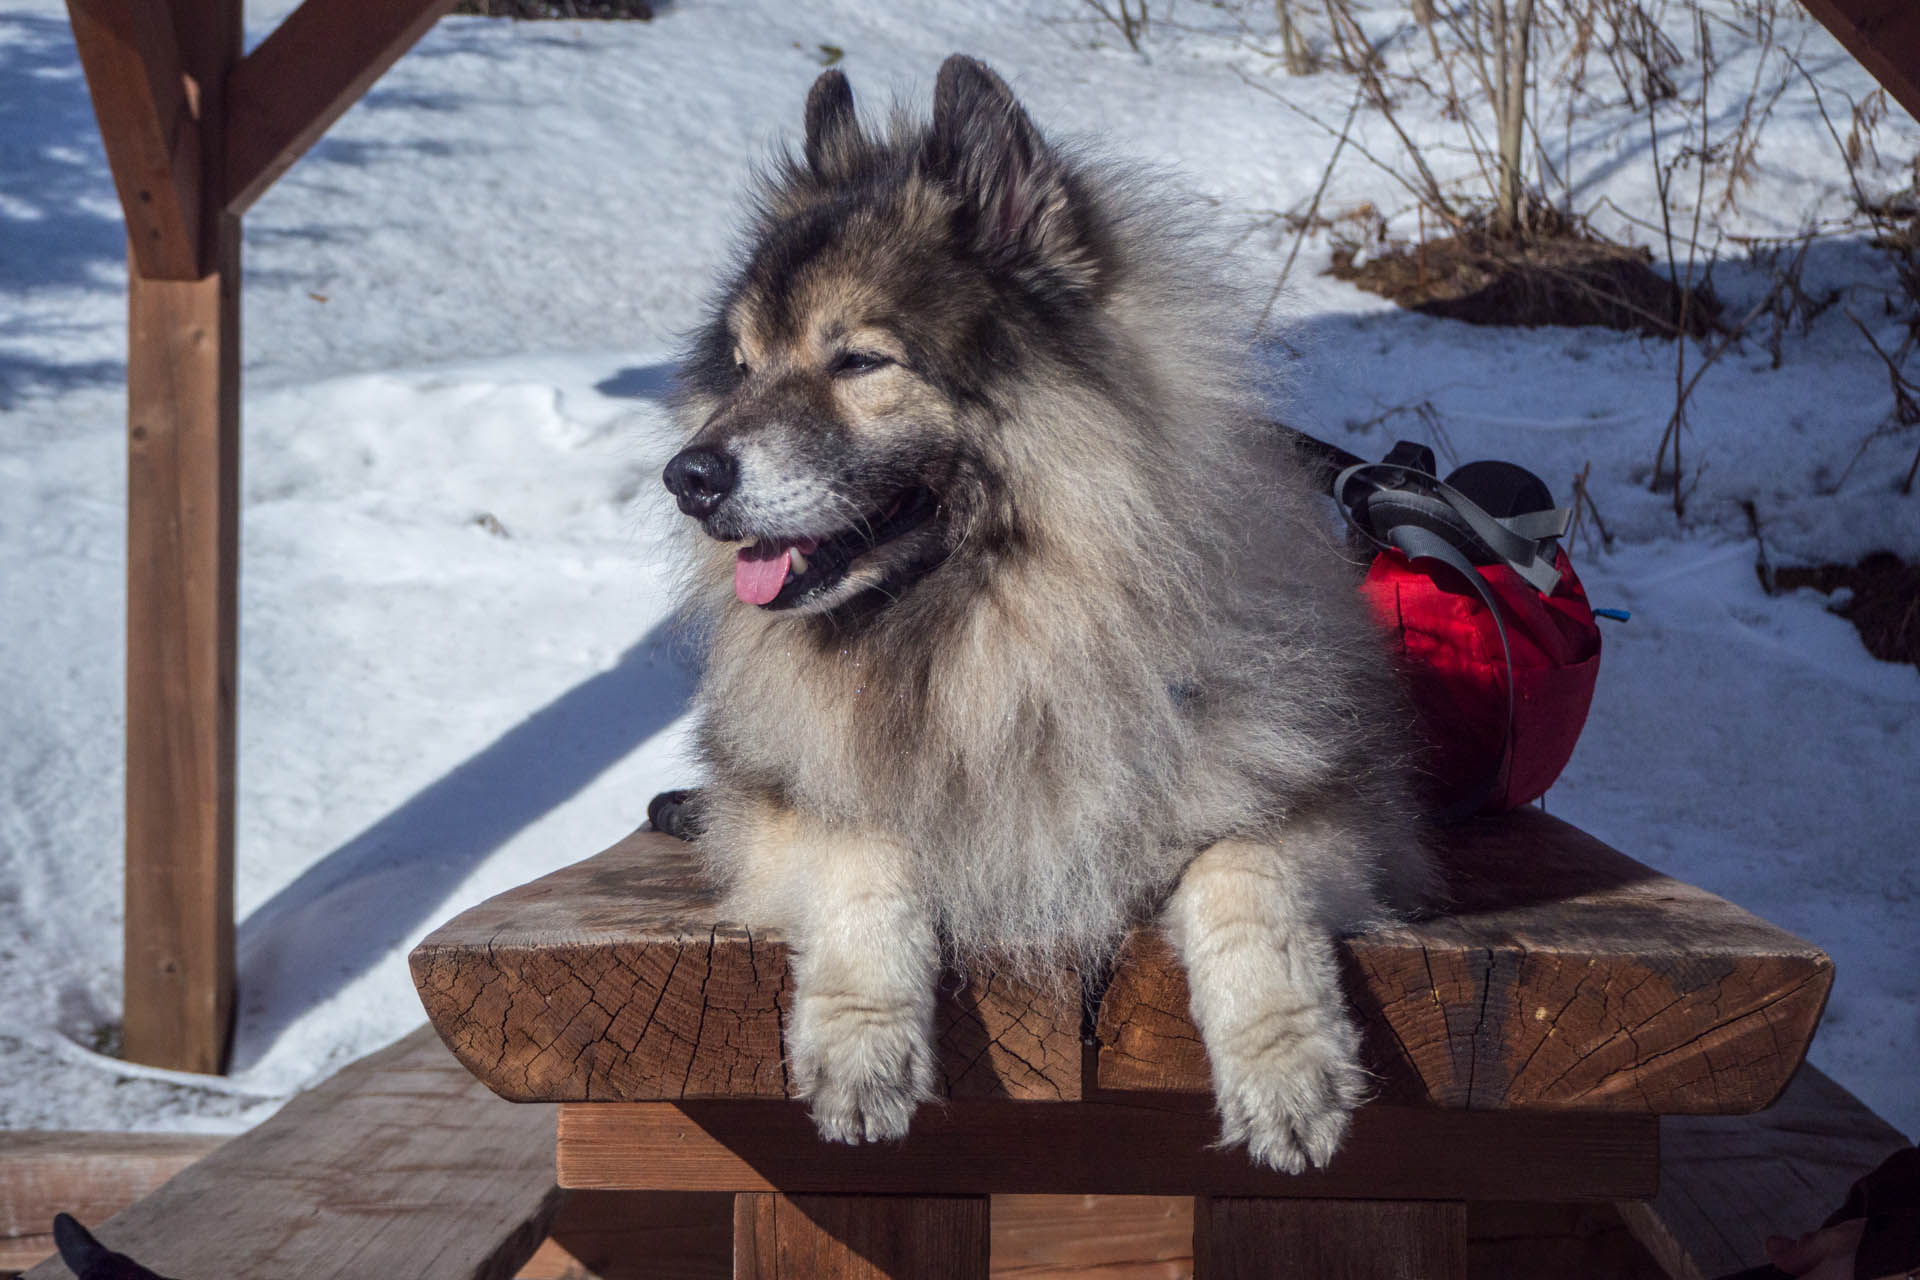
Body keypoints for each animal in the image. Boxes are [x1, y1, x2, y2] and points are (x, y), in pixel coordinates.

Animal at [660, 55, 1428, 1174]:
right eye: (746, 363)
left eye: (859, 361)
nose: (688, 476)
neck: (995, 636)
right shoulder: (781, 810)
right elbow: (866, 848)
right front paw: (861, 1047)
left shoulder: (1333, 812)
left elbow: (1245, 878)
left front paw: (1289, 1072)